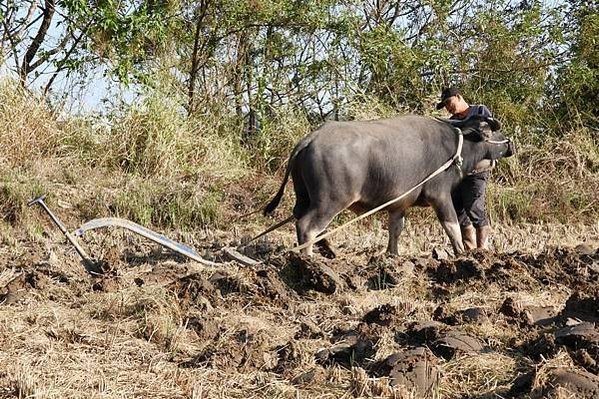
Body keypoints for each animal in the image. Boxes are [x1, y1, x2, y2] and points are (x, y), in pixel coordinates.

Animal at [264, 113, 516, 256]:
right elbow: (451, 226)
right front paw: (461, 253)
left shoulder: (399, 204)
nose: (510, 144)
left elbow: (396, 229)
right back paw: (307, 258)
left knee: (301, 218)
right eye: (495, 131)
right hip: (330, 200)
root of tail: (311, 139)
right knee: (308, 226)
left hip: (304, 196)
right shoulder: (440, 195)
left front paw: (392, 255)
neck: (457, 145)